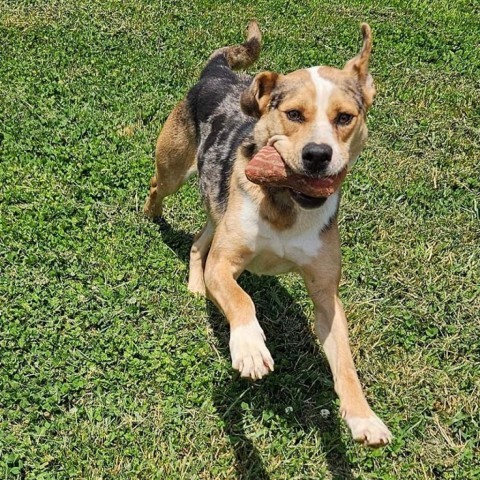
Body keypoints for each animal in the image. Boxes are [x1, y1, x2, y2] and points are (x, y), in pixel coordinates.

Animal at [144, 18, 392, 446]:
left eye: (345, 118)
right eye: (293, 114)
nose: (317, 155)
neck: (286, 205)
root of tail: (218, 72)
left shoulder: (326, 294)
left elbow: (344, 360)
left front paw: (363, 418)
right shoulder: (225, 264)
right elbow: (241, 299)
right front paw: (248, 347)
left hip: (216, 206)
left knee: (198, 241)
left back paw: (195, 284)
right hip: (174, 166)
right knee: (157, 186)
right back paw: (151, 216)